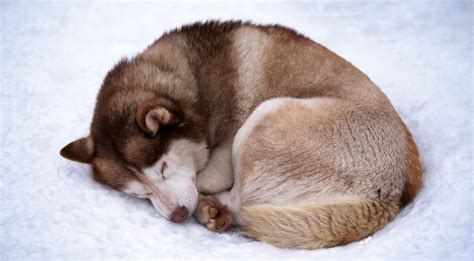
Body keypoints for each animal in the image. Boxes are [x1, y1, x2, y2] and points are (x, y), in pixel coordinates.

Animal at [60, 20, 422, 248]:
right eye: (139, 194)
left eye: (162, 168)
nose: (177, 216)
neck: (193, 87)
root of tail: (386, 198)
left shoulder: (220, 157)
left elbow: (205, 180)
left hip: (264, 117)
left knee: (240, 203)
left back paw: (213, 210)